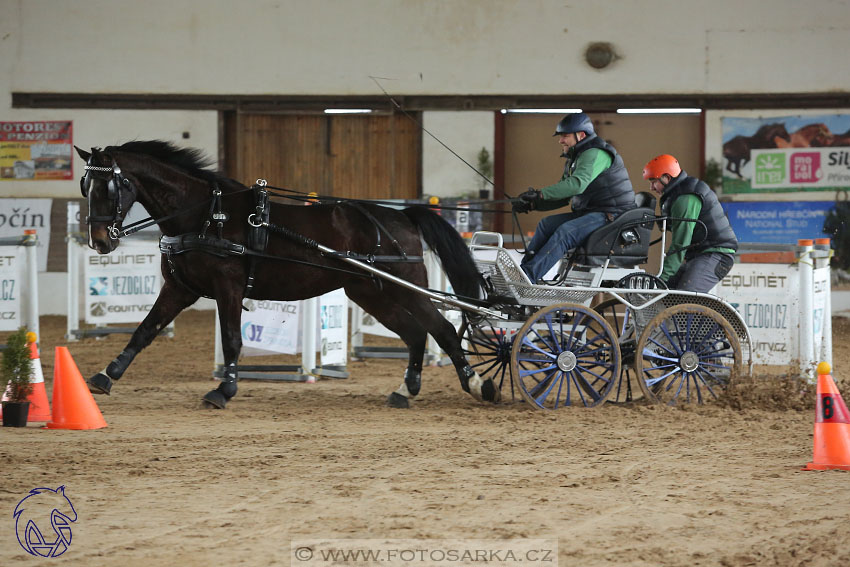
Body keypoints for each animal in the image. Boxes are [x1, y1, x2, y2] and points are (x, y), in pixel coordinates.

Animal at [74, 140, 496, 410]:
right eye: (85, 185)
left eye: (111, 185)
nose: (99, 242)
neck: (206, 215)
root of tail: (402, 215)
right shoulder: (180, 288)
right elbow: (145, 330)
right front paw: (105, 376)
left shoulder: (227, 287)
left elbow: (232, 340)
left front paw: (224, 390)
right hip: (372, 293)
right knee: (416, 333)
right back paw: (405, 391)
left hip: (407, 288)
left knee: (441, 329)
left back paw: (477, 384)